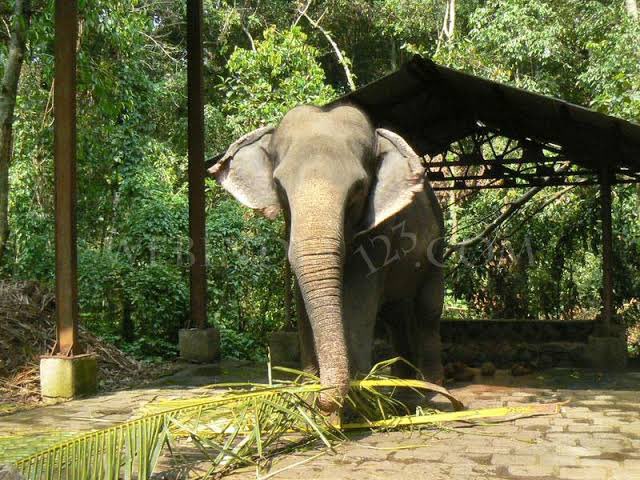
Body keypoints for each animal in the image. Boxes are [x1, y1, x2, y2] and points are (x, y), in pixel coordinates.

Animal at [211, 104, 444, 412]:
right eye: (279, 186)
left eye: (358, 188)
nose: (323, 399)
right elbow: (303, 296)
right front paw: (309, 393)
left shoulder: (378, 230)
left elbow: (359, 296)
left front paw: (357, 401)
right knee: (396, 314)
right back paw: (402, 389)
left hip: (437, 247)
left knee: (428, 311)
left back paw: (431, 391)